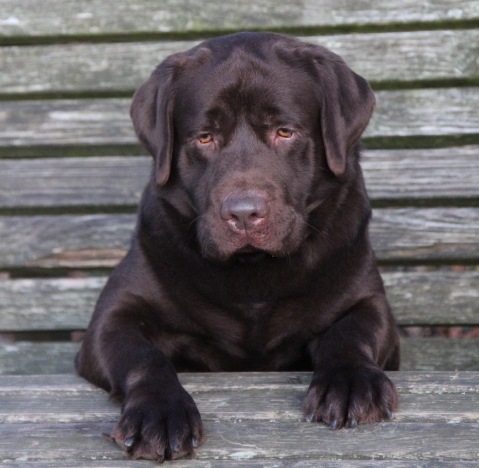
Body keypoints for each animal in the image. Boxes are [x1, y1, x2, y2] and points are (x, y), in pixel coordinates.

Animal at [75, 32, 400, 462]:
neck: (253, 277)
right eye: (205, 137)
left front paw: (350, 384)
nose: (244, 214)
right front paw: (158, 413)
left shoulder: (368, 301)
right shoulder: (112, 318)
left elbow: (349, 333)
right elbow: (143, 355)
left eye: (284, 132)